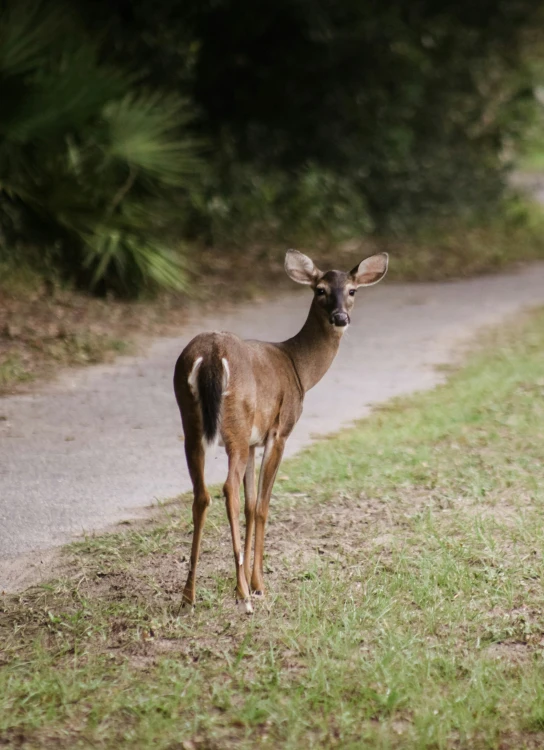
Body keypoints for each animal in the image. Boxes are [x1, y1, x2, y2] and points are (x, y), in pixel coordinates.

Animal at [172, 250, 388, 612]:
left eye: (353, 290)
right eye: (320, 290)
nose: (340, 317)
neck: (298, 367)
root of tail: (211, 355)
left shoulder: (254, 443)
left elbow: (250, 504)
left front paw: (244, 581)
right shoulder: (280, 431)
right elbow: (262, 505)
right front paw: (257, 585)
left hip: (192, 423)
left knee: (202, 494)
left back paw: (188, 596)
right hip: (236, 424)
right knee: (227, 489)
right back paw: (243, 596)